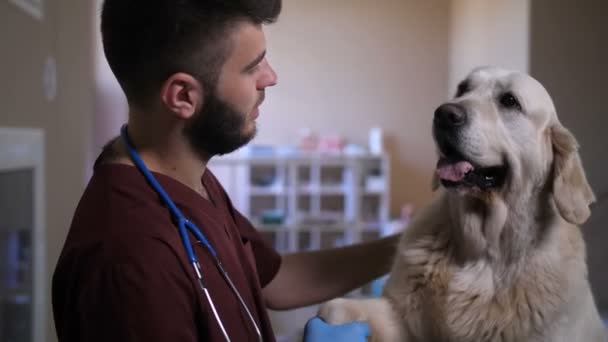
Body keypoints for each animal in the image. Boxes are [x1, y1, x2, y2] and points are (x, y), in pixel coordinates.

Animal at [320, 67, 604, 342]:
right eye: (462, 89)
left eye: (509, 101)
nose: (444, 114)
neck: (482, 249)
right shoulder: (401, 315)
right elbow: (338, 311)